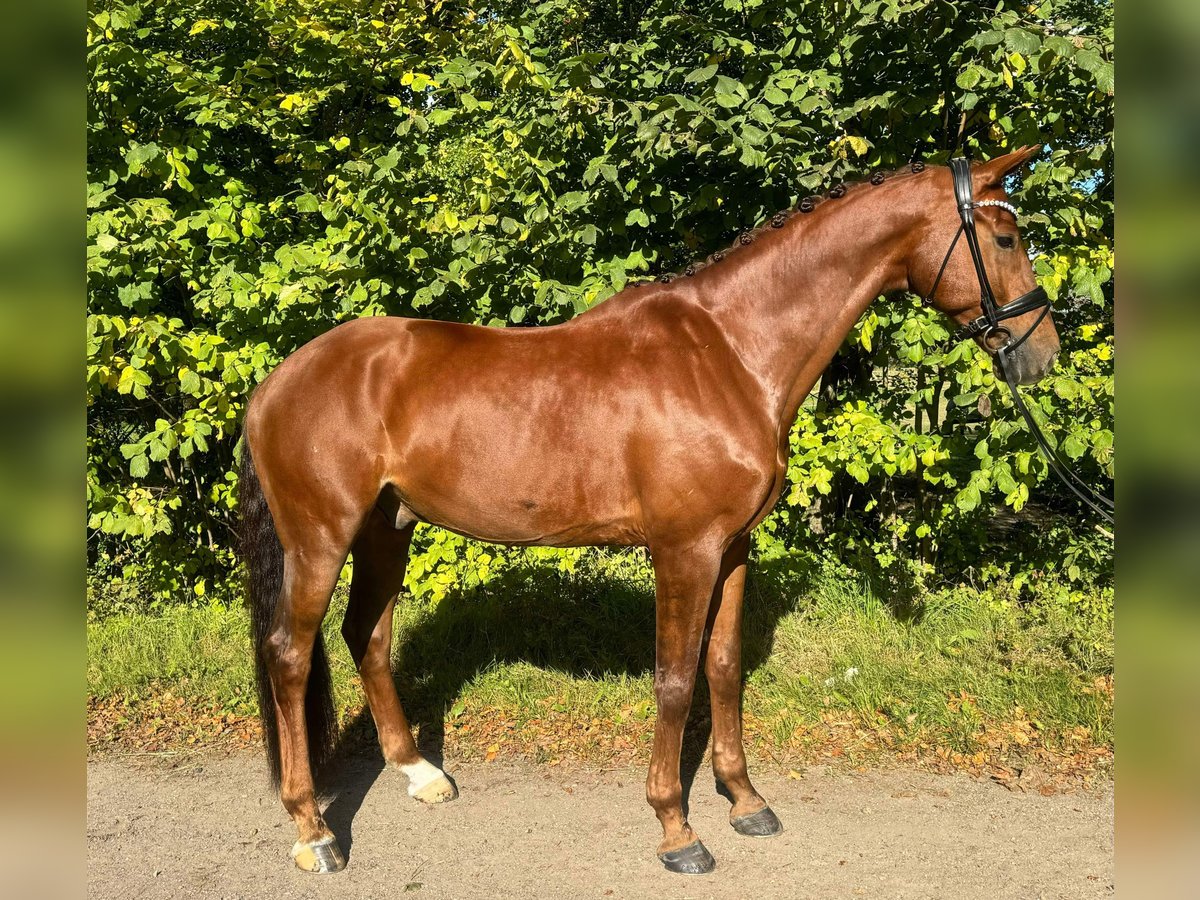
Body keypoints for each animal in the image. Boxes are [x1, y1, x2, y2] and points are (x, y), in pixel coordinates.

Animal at [238, 146, 1056, 873]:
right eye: (1005, 238)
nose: (1040, 351)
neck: (730, 353)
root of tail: (277, 381)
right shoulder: (683, 550)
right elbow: (674, 679)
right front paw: (677, 830)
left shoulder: (732, 549)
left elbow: (723, 667)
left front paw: (745, 800)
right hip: (321, 537)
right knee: (289, 653)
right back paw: (314, 832)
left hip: (388, 529)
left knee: (366, 635)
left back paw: (418, 773)